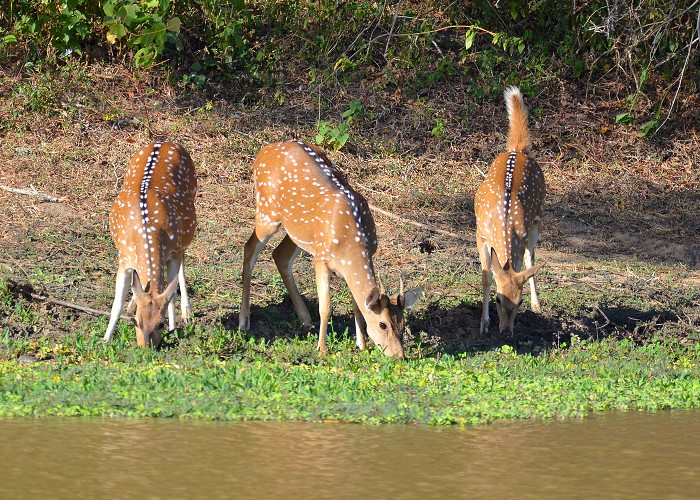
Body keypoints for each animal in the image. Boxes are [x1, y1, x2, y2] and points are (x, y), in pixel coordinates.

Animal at [104, 143, 197, 348]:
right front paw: (106, 339)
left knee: (182, 265)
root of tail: (165, 142)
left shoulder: (173, 251)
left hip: (186, 232)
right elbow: (116, 304)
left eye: (160, 324)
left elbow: (171, 296)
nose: (146, 348)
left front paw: (174, 329)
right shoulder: (124, 258)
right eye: (136, 322)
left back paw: (187, 313)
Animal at [238, 142, 424, 360]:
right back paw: (244, 321)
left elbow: (356, 304)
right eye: (383, 324)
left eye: (403, 323)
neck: (351, 245)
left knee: (279, 255)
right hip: (267, 212)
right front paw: (321, 349)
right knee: (249, 248)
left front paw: (361, 344)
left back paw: (305, 319)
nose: (398, 355)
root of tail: (263, 151)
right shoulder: (321, 258)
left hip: (299, 231)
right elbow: (325, 307)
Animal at [476, 87, 548, 336]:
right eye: (497, 300)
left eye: (519, 301)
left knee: (530, 257)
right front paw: (484, 323)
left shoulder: (522, 234)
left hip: (537, 221)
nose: (507, 331)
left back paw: (538, 304)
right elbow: (487, 276)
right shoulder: (480, 233)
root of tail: (517, 150)